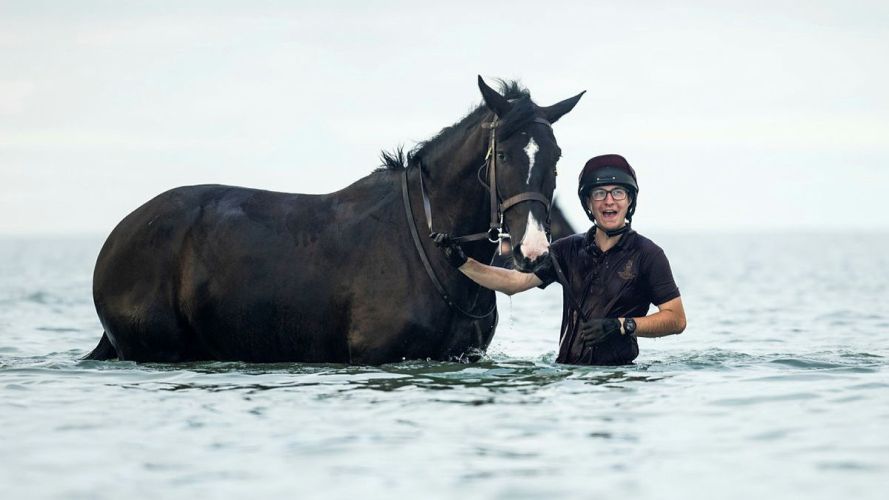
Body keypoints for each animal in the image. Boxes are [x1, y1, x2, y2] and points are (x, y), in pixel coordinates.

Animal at [85, 76, 584, 364]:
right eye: (502, 156)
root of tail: (119, 237)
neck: (427, 247)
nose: (533, 250)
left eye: (556, 157)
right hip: (157, 348)